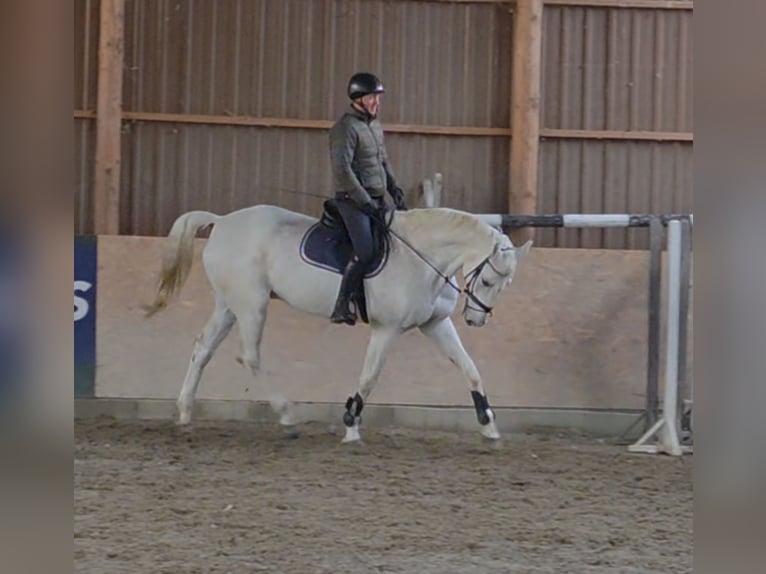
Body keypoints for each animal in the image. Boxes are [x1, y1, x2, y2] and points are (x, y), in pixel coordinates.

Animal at [145, 203, 531, 443]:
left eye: (506, 284)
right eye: (487, 280)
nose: (476, 319)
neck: (422, 258)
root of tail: (223, 220)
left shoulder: (435, 324)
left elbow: (470, 368)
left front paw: (488, 425)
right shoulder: (386, 329)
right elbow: (369, 377)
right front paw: (351, 426)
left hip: (229, 305)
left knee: (203, 349)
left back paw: (184, 414)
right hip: (252, 304)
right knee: (249, 355)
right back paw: (287, 418)